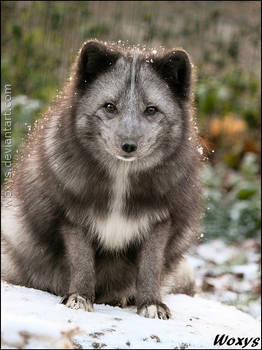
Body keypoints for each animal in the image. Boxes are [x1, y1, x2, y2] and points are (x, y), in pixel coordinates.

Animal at [1, 39, 201, 318]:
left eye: (151, 110)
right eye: (109, 107)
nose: (128, 146)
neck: (121, 180)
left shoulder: (160, 220)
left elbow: (150, 266)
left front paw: (151, 303)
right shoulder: (72, 216)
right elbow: (82, 262)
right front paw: (79, 297)